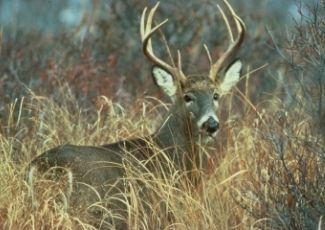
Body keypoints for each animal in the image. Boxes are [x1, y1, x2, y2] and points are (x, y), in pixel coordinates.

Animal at [27, 0, 244, 228]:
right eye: (187, 97)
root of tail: (46, 166)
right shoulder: (160, 212)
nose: (211, 124)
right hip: (90, 211)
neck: (169, 154)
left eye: (216, 95)